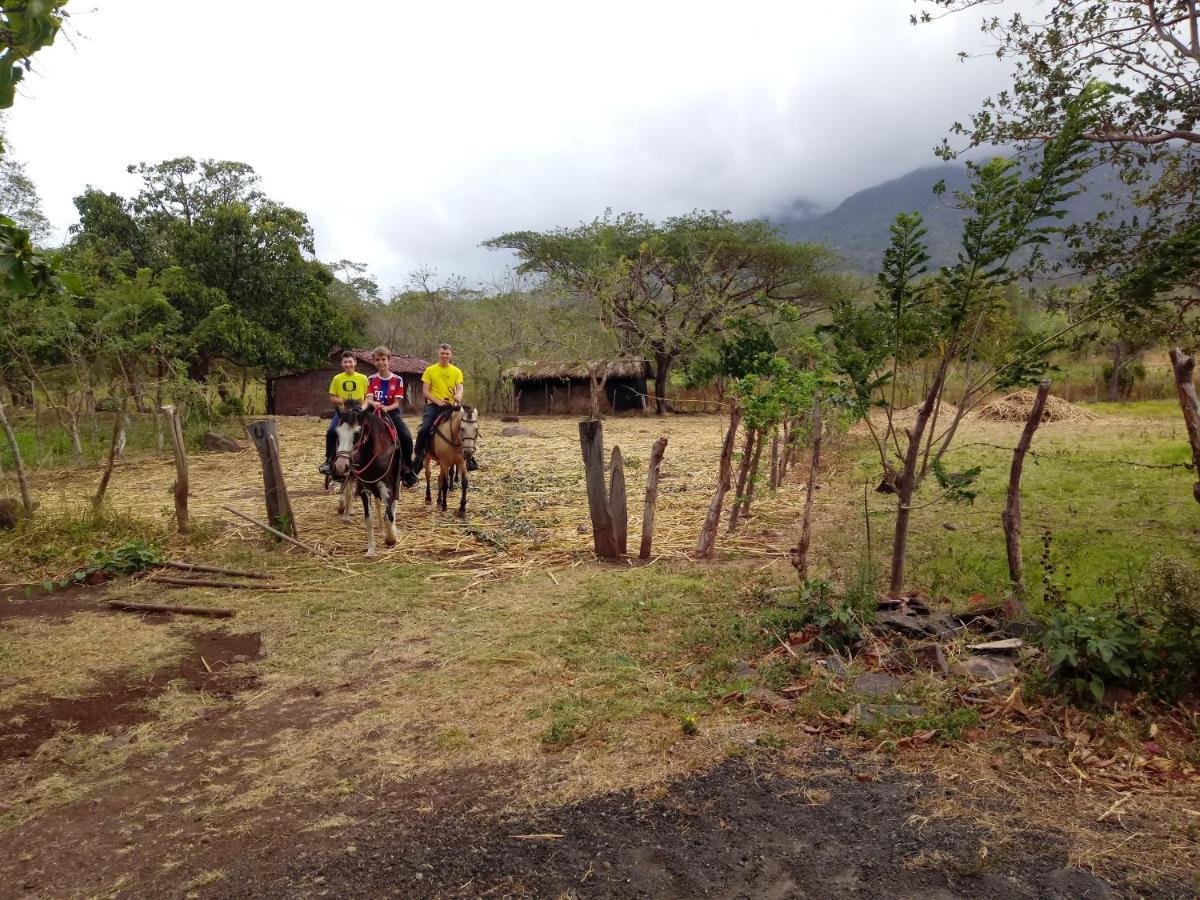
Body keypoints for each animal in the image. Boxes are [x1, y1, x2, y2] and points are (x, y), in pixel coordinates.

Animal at [333, 400, 403, 556]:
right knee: (377, 504)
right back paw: (381, 530)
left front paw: (391, 538)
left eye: (357, 433)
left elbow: (389, 515)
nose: (341, 466)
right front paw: (371, 549)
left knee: (393, 504)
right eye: (337, 432)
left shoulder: (386, 484)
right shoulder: (365, 486)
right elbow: (369, 518)